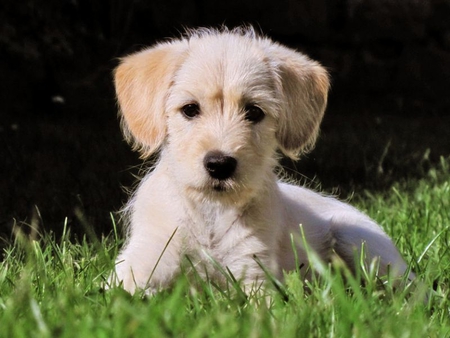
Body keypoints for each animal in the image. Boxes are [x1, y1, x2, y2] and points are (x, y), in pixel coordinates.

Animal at [111, 27, 412, 296]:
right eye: (190, 109)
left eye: (254, 112)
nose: (220, 165)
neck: (211, 213)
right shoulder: (143, 261)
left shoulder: (254, 274)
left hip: (361, 243)